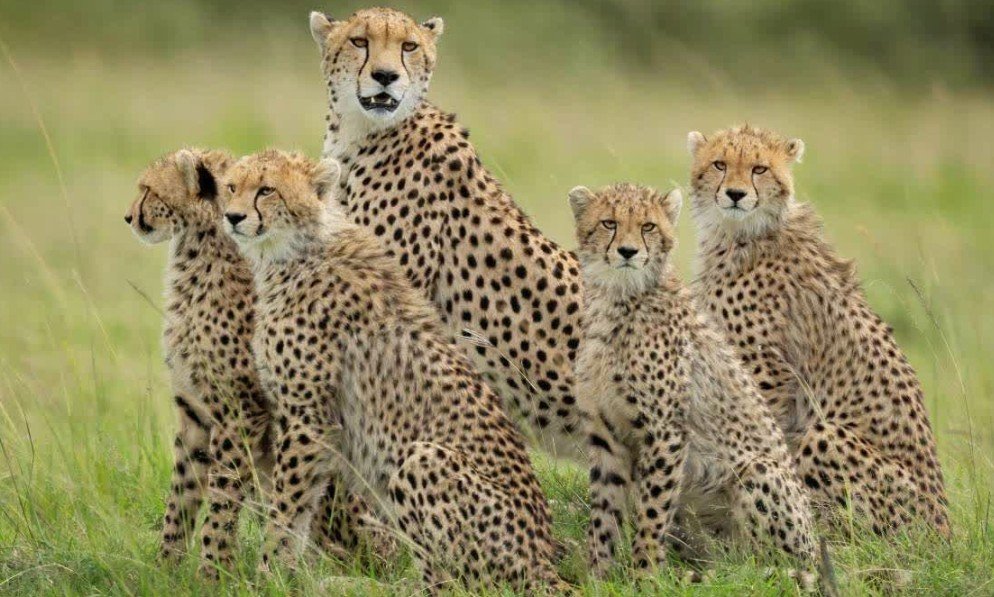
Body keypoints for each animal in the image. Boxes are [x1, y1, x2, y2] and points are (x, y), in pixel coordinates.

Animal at [123, 148, 376, 579]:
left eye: (148, 190)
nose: (127, 217)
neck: (200, 247)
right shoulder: (195, 411)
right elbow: (183, 494)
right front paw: (166, 568)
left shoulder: (241, 410)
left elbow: (223, 494)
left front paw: (212, 572)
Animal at [220, 149, 566, 593]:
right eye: (231, 186)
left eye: (266, 190)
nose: (232, 216)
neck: (295, 250)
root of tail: (543, 560)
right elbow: (303, 509)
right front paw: (286, 574)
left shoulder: (309, 419)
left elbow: (286, 509)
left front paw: (268, 575)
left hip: (421, 460)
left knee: (450, 585)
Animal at [569, 182, 816, 579]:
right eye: (609, 223)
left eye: (648, 226)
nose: (628, 251)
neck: (619, 299)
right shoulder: (606, 436)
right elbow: (603, 515)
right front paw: (598, 576)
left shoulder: (665, 432)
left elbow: (651, 513)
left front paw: (645, 576)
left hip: (757, 471)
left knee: (771, 565)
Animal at [688, 124, 950, 537]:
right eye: (719, 164)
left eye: (759, 169)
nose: (735, 194)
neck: (742, 232)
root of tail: (945, 529)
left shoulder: (767, 373)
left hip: (825, 435)